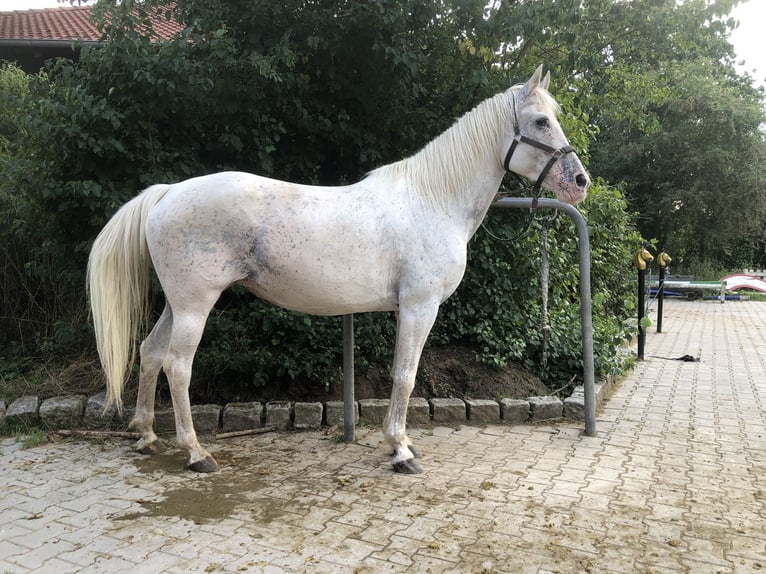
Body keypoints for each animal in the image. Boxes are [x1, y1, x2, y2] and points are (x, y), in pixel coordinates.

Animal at [91, 65, 592, 474]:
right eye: (541, 121)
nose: (580, 182)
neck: (433, 200)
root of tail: (169, 192)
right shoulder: (419, 307)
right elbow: (405, 375)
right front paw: (401, 449)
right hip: (195, 305)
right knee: (177, 366)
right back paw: (197, 453)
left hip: (177, 304)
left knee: (150, 352)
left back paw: (147, 436)